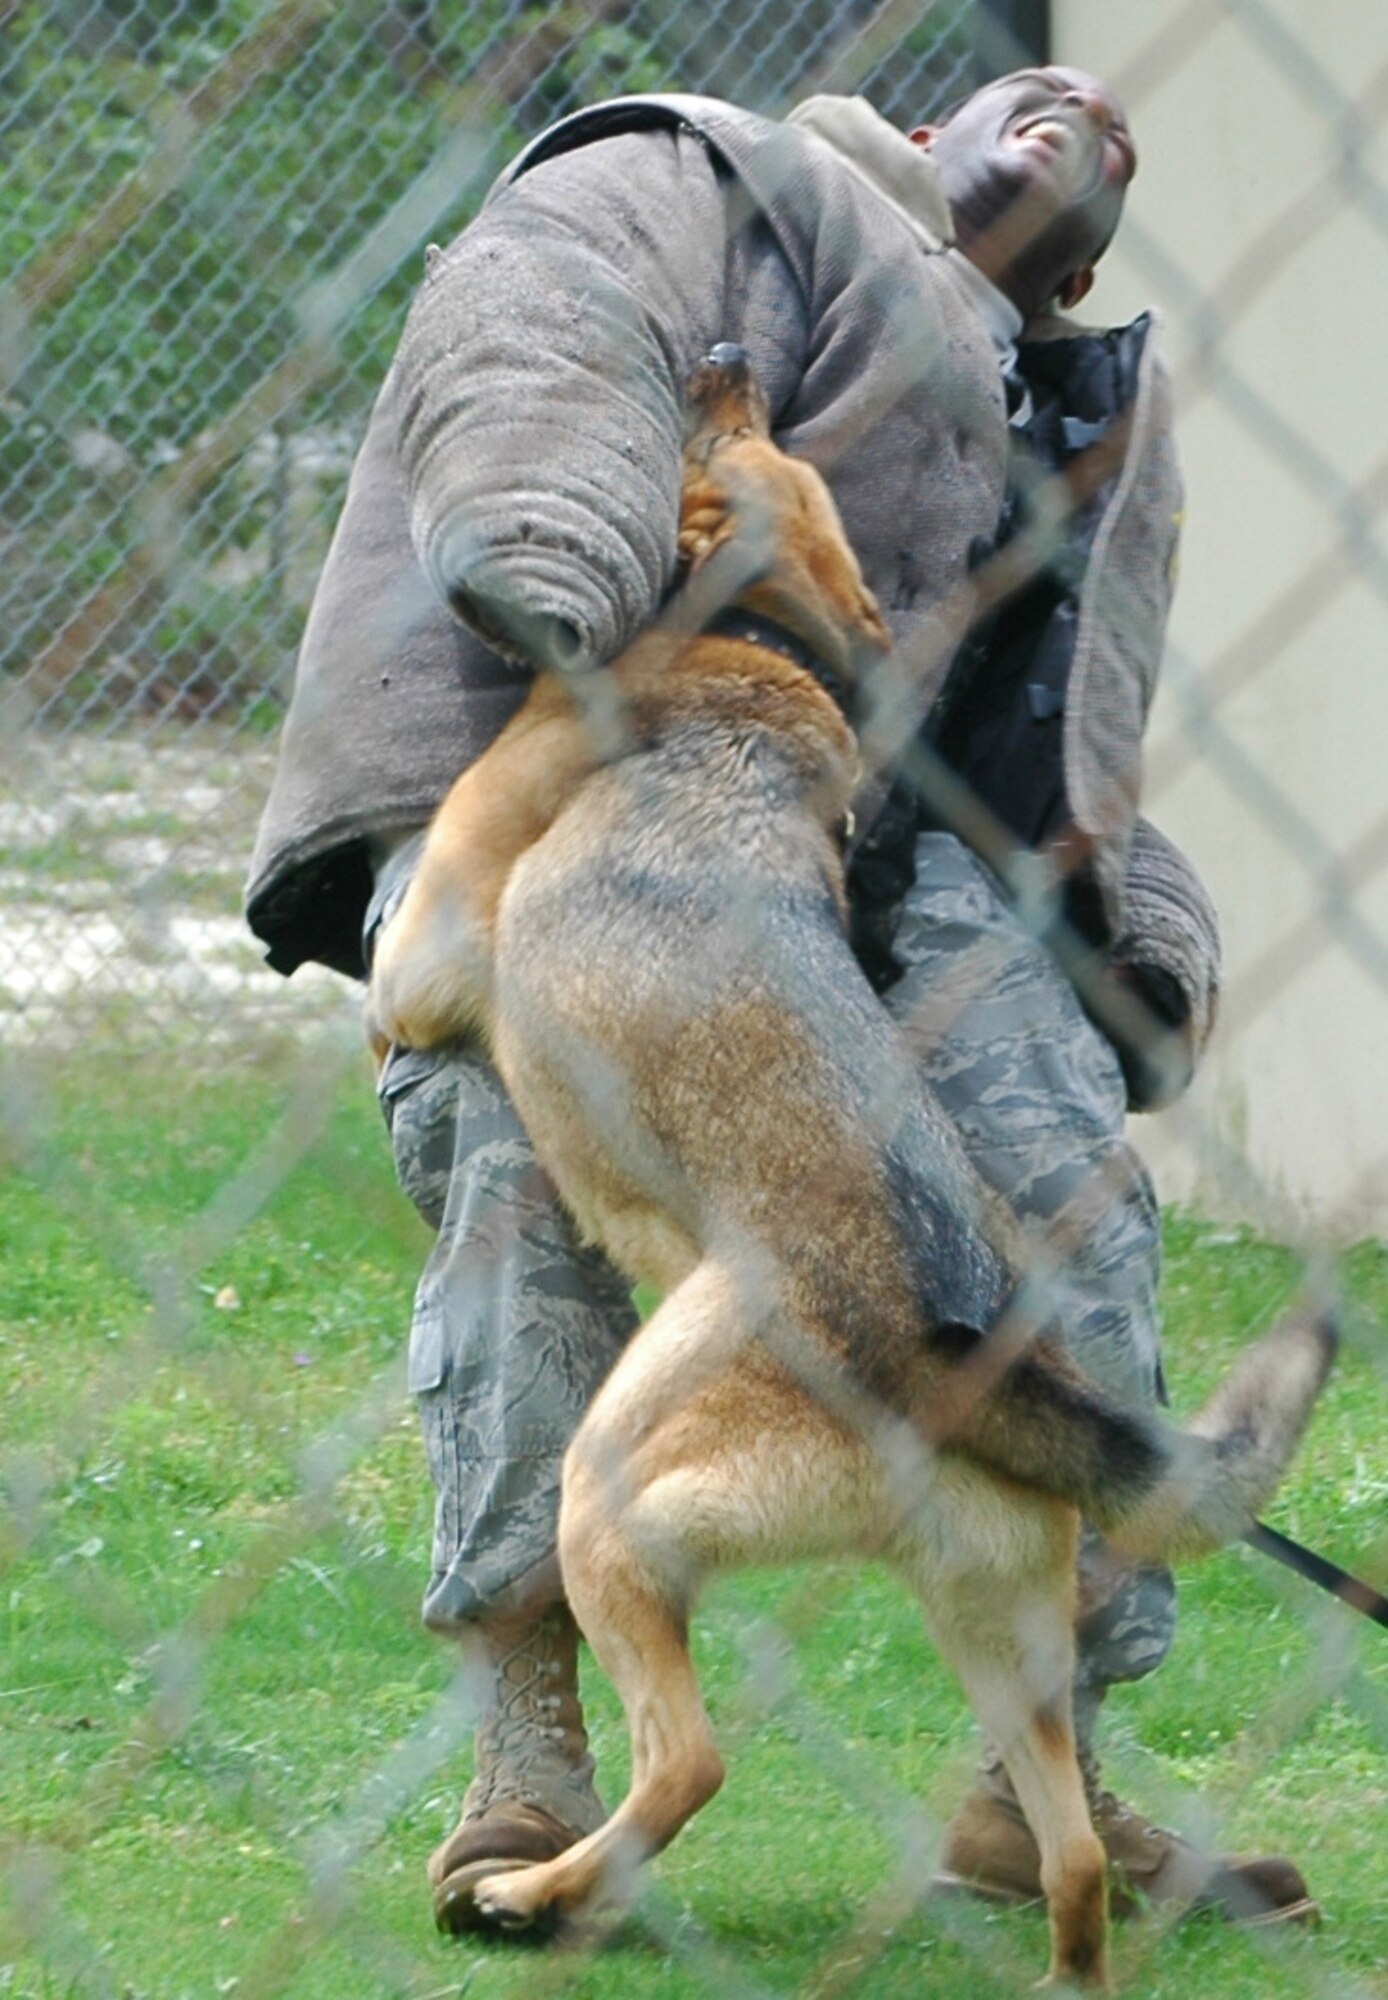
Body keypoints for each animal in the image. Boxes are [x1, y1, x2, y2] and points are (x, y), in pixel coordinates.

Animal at [370, 348, 1336, 1984]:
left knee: (688, 1762)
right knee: (1072, 1859)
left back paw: (537, 1896)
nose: (724, 360)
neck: (761, 635)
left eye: (726, 438)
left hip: (609, 1492)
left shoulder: (427, 960)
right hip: (1000, 1641)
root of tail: (967, 1358)